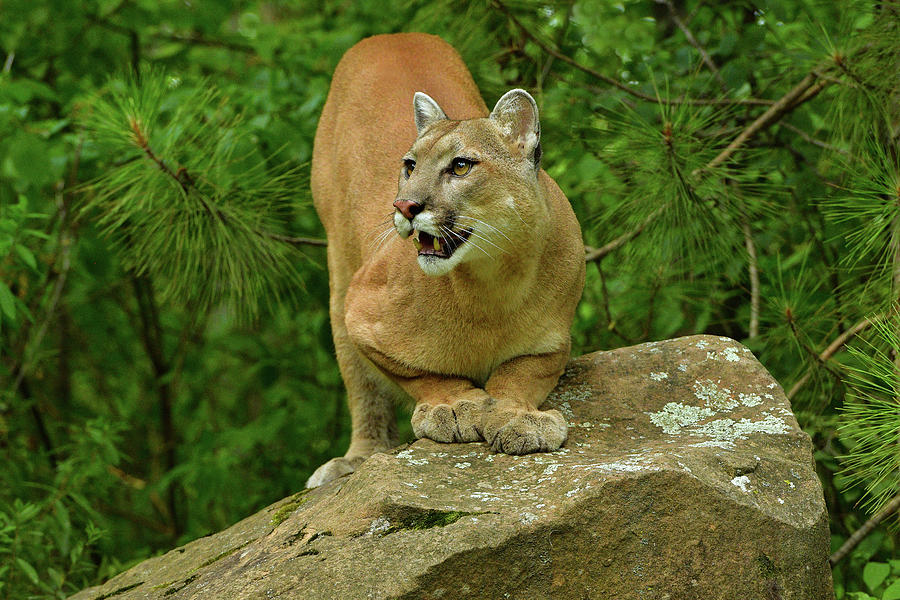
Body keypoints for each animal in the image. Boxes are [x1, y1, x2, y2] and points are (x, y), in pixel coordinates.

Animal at [306, 32, 588, 488]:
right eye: (409, 165)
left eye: (460, 166)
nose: (404, 206)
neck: (493, 281)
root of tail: (390, 35)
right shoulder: (359, 310)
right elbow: (418, 372)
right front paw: (454, 406)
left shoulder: (553, 342)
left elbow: (519, 374)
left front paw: (519, 417)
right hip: (338, 273)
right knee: (362, 389)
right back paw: (356, 458)